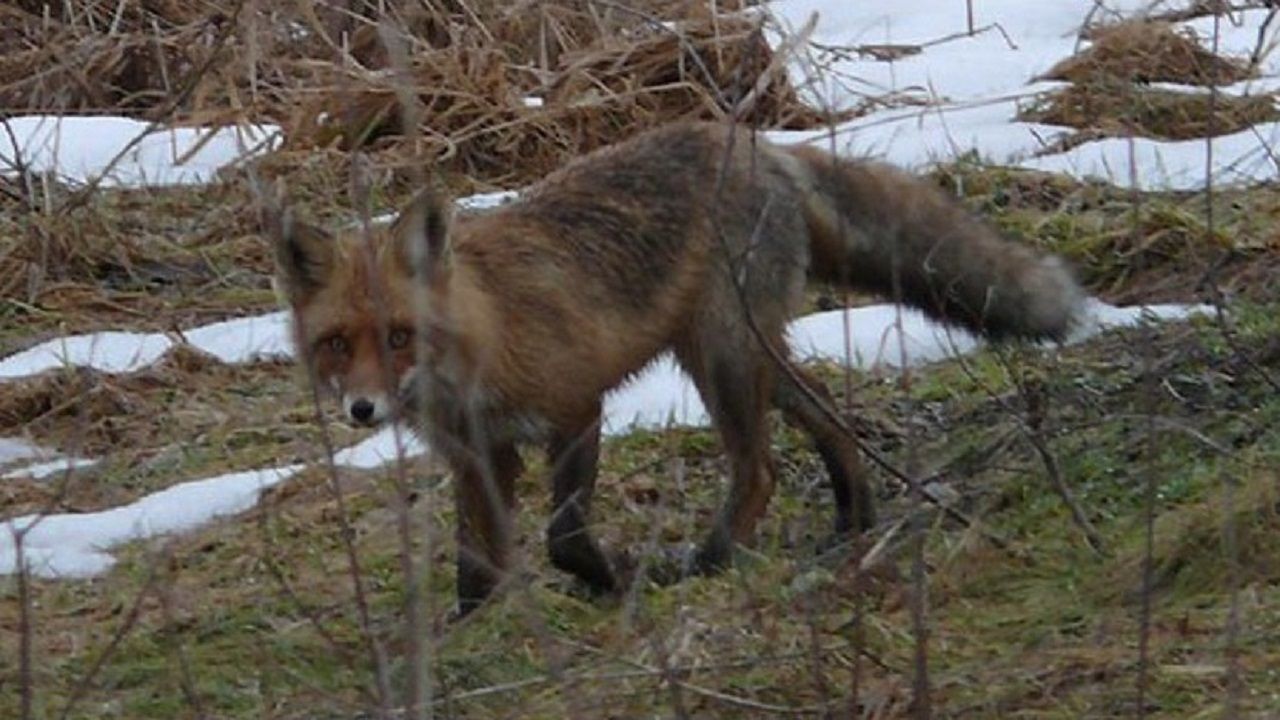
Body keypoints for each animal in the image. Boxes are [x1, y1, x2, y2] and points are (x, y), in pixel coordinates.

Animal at [264, 120, 1085, 614]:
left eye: (400, 335)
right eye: (337, 342)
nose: (362, 410)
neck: (482, 336)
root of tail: (758, 141)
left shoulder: (576, 409)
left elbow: (563, 537)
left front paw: (612, 582)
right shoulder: (478, 456)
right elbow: (476, 561)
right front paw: (468, 634)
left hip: (723, 357)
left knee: (759, 470)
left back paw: (709, 562)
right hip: (744, 356)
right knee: (828, 413)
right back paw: (854, 520)